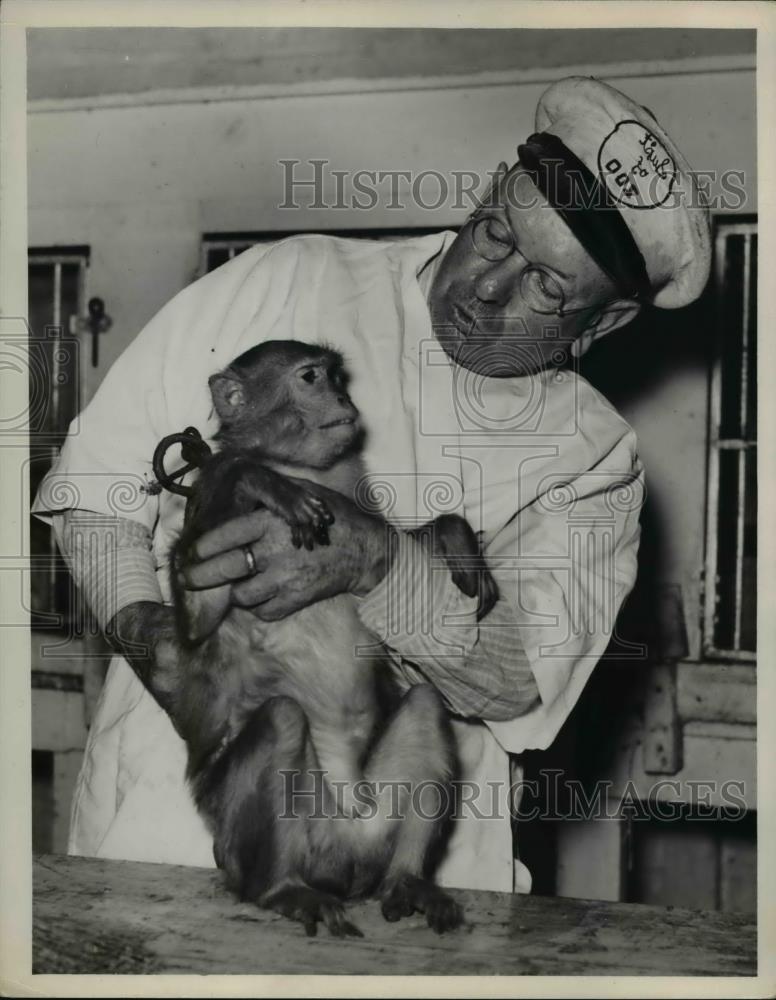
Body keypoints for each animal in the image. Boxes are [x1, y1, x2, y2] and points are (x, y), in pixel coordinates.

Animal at [155, 342, 500, 936]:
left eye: (338, 376)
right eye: (310, 377)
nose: (342, 398)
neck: (300, 462)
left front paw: (454, 536)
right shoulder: (211, 509)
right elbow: (199, 616)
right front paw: (262, 482)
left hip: (373, 828)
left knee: (425, 704)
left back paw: (407, 881)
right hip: (245, 840)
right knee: (281, 719)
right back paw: (283, 890)